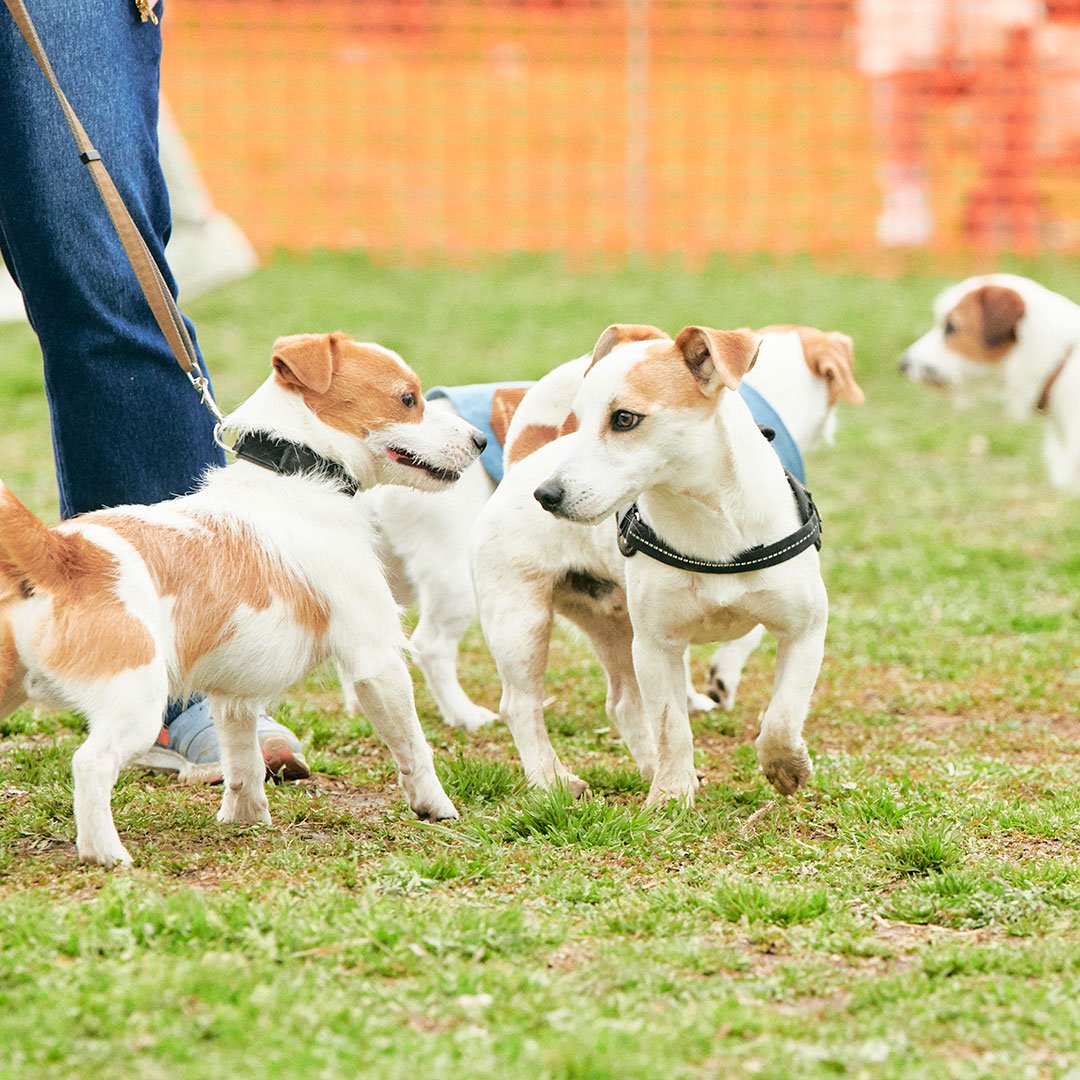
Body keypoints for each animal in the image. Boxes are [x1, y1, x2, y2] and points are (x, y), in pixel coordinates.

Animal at [0, 332, 486, 864]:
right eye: (407, 399)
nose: (482, 441)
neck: (294, 471)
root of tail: (64, 553)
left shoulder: (234, 696)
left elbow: (242, 759)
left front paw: (244, 817)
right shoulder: (376, 660)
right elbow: (414, 746)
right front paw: (435, 806)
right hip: (138, 702)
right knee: (90, 764)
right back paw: (106, 853)